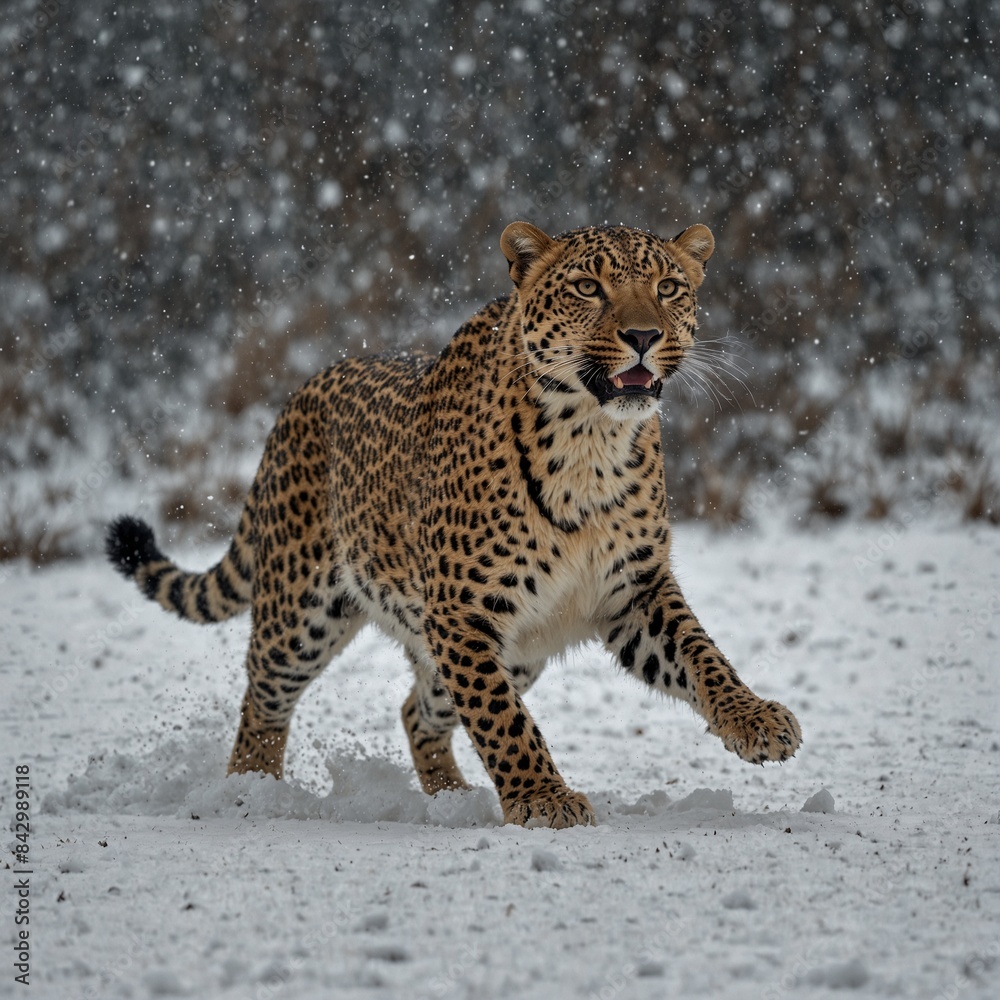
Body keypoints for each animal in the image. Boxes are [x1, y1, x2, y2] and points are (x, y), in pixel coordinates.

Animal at [106, 220, 802, 829]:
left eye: (668, 287)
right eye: (587, 287)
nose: (642, 335)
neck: (591, 443)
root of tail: (302, 393)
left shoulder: (634, 589)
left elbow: (701, 654)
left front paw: (756, 720)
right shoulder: (464, 611)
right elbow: (502, 720)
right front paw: (543, 799)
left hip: (512, 648)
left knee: (416, 711)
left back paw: (450, 797)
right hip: (302, 610)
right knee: (263, 699)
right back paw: (251, 791)